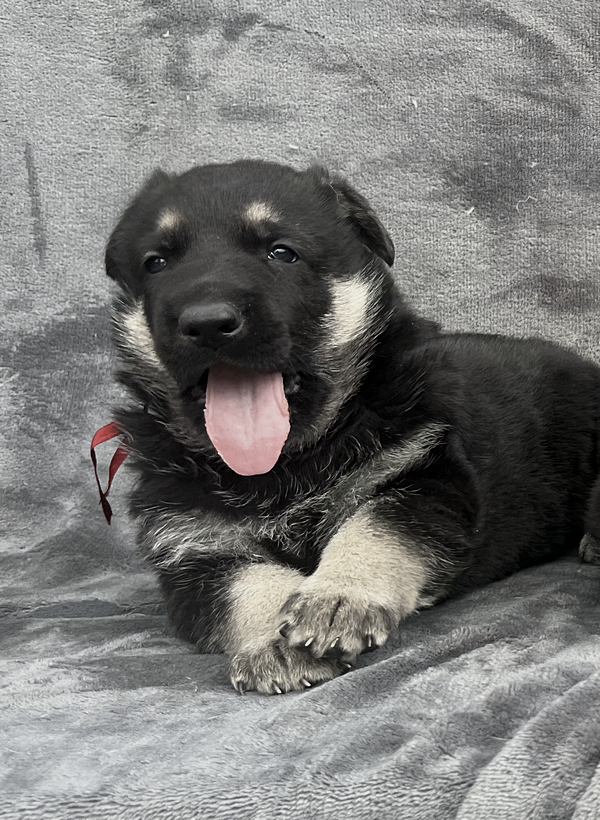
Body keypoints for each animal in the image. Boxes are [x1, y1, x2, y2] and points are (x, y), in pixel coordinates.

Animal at [104, 159, 600, 694]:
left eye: (282, 252)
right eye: (157, 263)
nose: (208, 323)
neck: (289, 461)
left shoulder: (423, 475)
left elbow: (375, 527)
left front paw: (337, 599)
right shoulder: (193, 552)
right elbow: (245, 586)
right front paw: (278, 643)